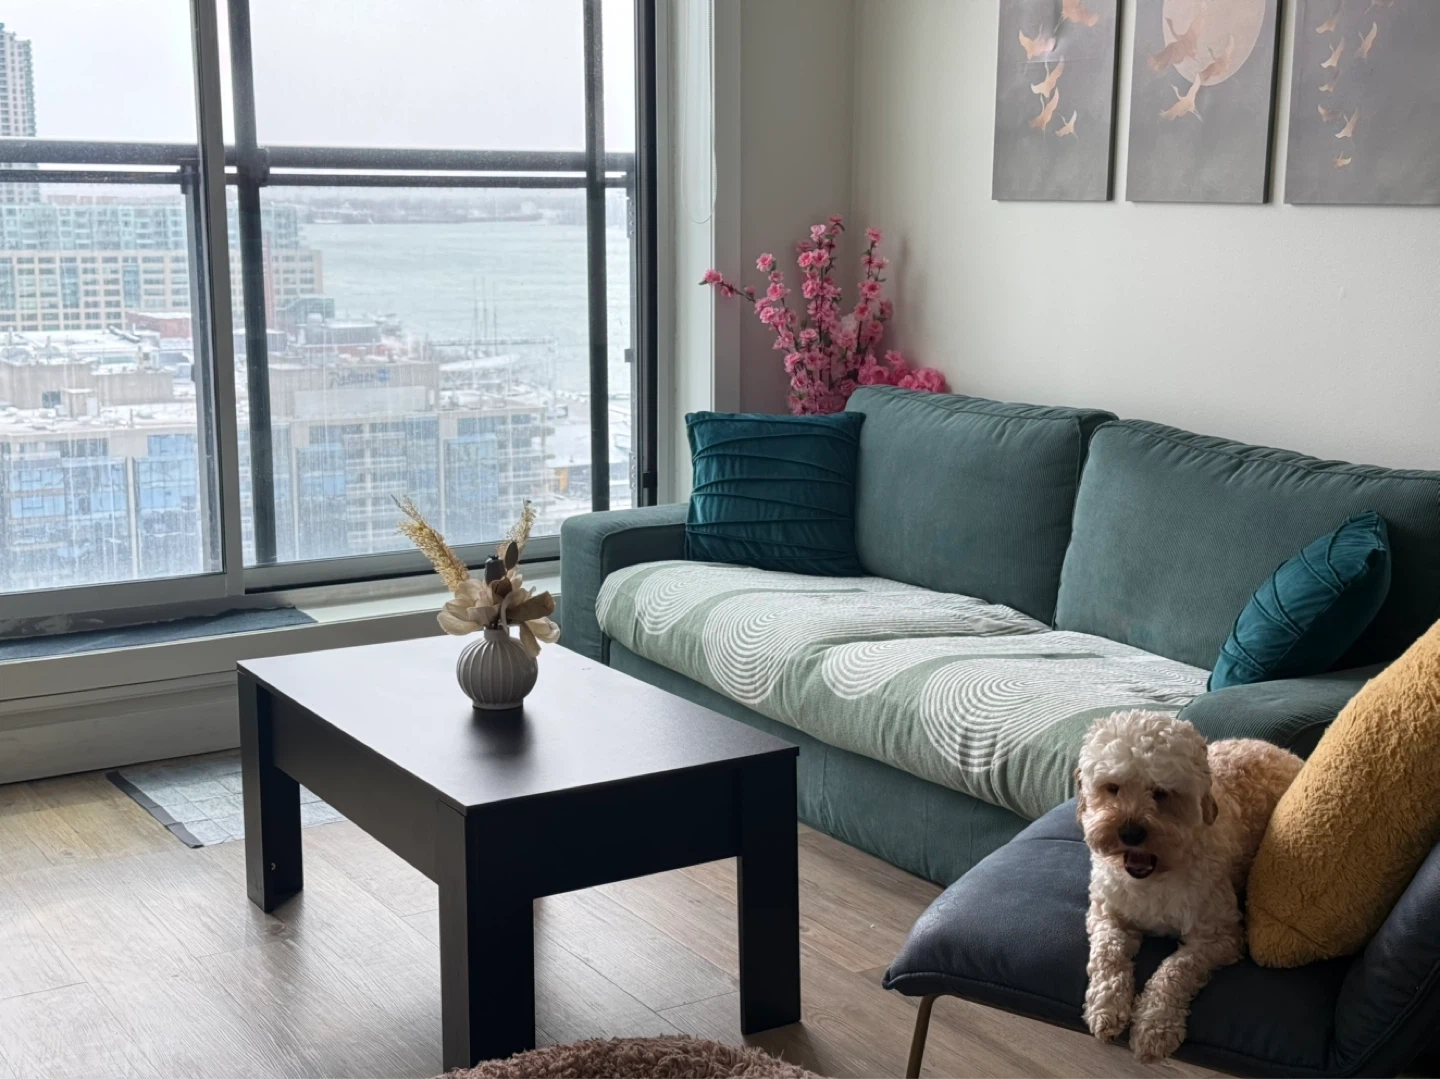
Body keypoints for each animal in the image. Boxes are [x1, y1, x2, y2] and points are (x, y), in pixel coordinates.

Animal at [1076, 710, 1302, 1063]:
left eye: (1162, 792)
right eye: (1112, 787)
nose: (1130, 833)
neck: (1153, 878)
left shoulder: (1220, 936)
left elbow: (1176, 969)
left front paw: (1155, 1024)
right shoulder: (1106, 912)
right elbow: (1107, 954)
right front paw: (1106, 1005)